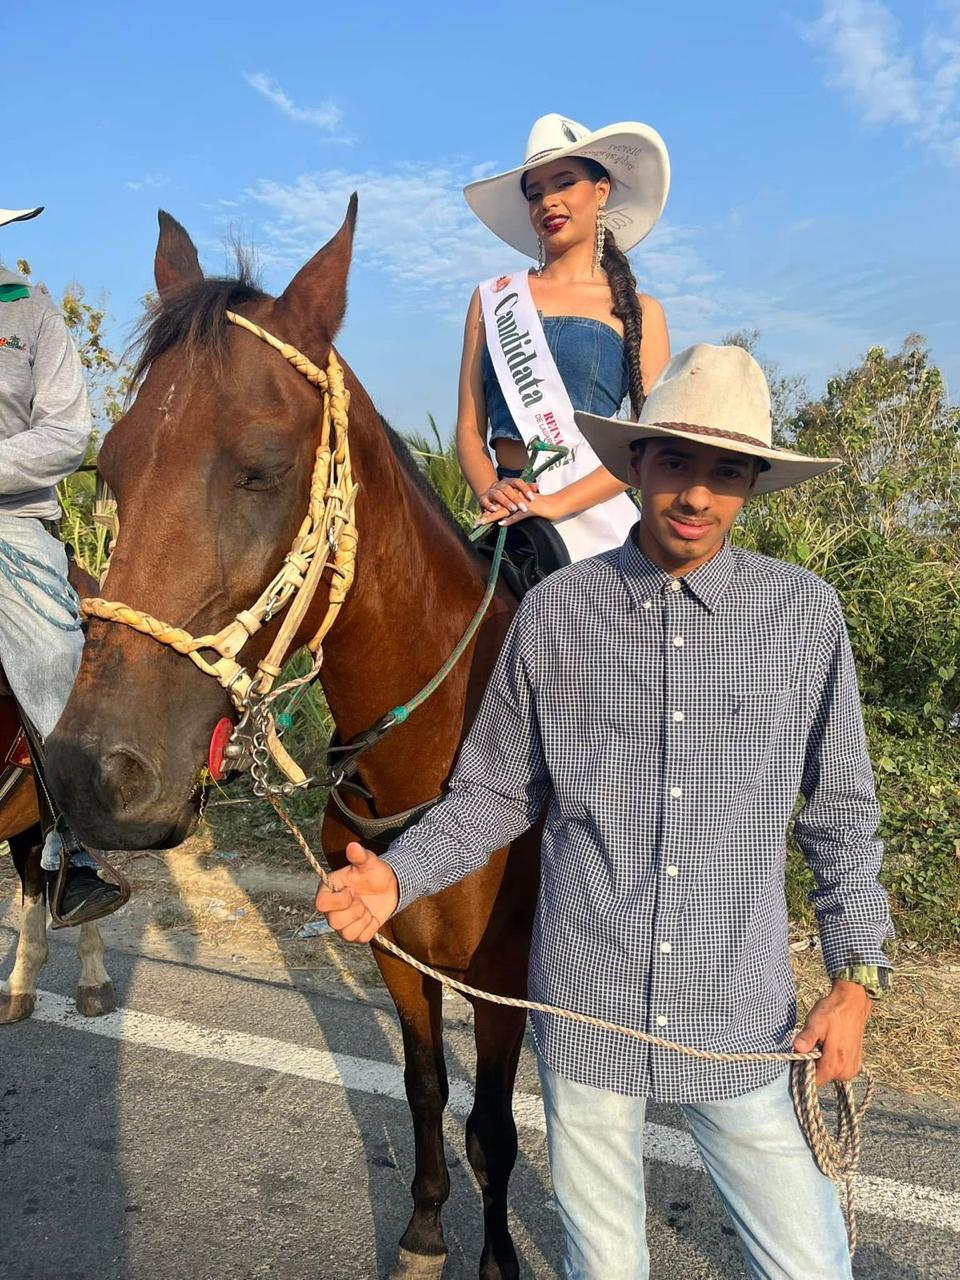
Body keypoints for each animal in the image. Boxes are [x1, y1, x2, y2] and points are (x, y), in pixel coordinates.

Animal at [43, 201, 541, 1280]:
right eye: (111, 466)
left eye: (262, 469)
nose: (91, 774)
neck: (438, 760)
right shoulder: (397, 956)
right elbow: (429, 1090)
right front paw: (425, 1232)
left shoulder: (505, 983)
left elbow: (495, 1129)